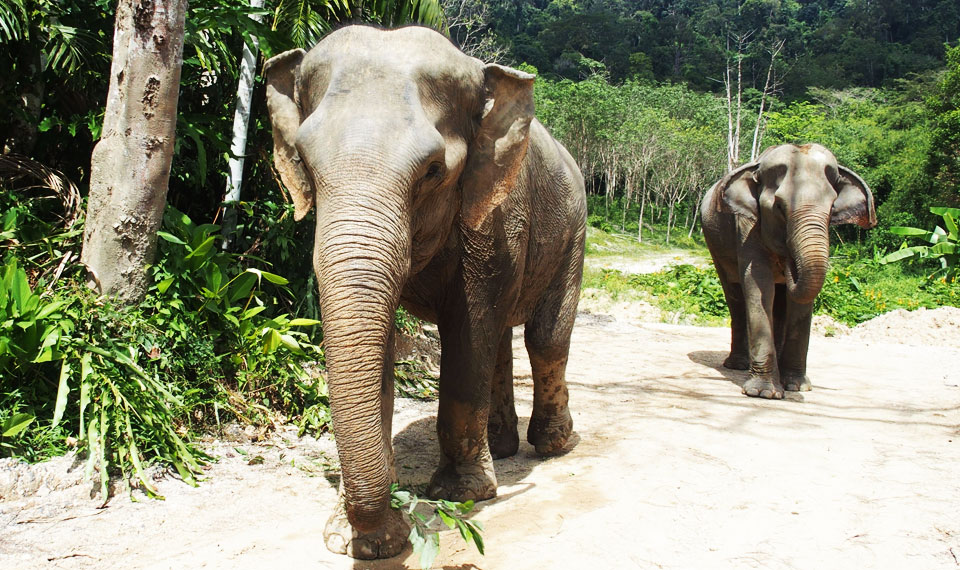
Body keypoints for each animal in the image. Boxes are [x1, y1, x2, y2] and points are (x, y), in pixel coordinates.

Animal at [263, 26, 586, 559]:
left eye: (434, 170)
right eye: (305, 163)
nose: (392, 525)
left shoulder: (493, 216)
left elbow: (469, 333)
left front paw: (461, 495)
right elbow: (384, 348)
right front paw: (360, 541)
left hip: (574, 232)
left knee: (544, 336)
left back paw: (555, 445)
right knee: (502, 339)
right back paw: (502, 448)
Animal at [700, 143, 876, 400]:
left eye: (832, 207)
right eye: (779, 208)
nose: (787, 261)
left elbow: (798, 303)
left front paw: (797, 386)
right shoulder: (747, 225)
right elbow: (758, 284)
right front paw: (764, 393)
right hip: (716, 246)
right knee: (735, 295)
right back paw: (738, 365)